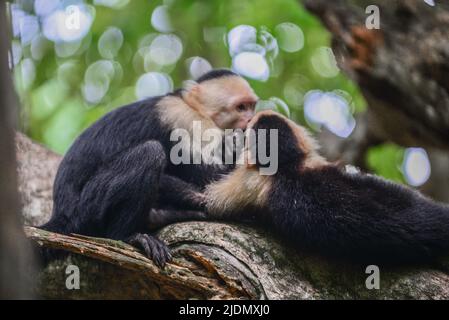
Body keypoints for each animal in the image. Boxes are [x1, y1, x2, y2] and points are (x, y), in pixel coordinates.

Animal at [41, 70, 260, 268]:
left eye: (252, 106)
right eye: (241, 107)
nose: (250, 120)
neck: (191, 105)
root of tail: (61, 213)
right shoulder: (183, 118)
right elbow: (210, 178)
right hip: (86, 210)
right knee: (149, 153)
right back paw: (128, 237)